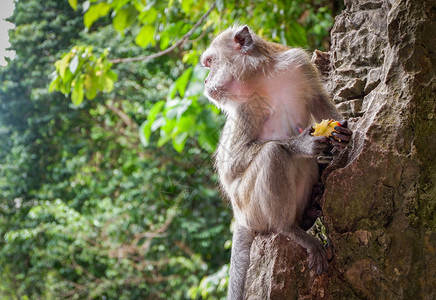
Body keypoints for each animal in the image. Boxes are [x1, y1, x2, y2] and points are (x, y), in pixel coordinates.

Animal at [203, 25, 352, 300]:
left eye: (210, 62)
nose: (206, 81)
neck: (263, 76)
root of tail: (239, 216)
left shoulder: (298, 63)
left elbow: (318, 100)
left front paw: (343, 134)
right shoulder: (244, 106)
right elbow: (232, 165)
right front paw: (301, 144)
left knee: (305, 164)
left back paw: (306, 216)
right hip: (249, 206)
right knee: (273, 154)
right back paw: (288, 229)